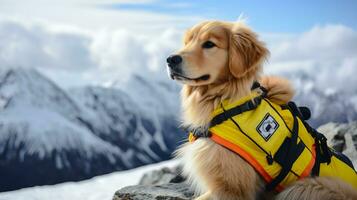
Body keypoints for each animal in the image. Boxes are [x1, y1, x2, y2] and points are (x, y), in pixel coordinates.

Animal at [167, 21, 356, 199]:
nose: (170, 59)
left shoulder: (232, 188)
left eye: (209, 44)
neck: (225, 99)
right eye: (187, 42)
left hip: (308, 186)